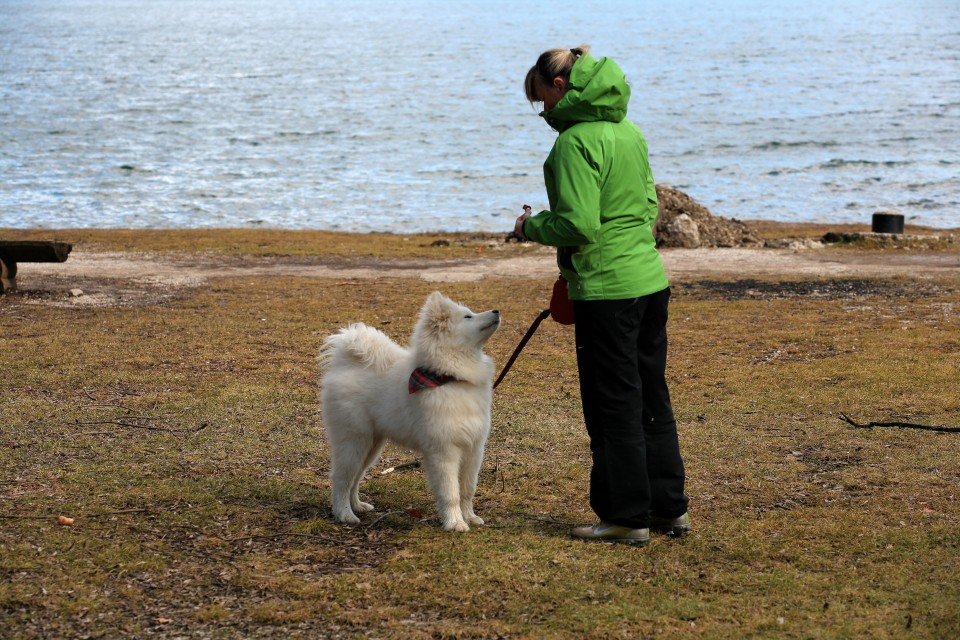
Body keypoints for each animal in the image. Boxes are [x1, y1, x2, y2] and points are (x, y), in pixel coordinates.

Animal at [322, 292, 502, 528]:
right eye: (468, 317)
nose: (497, 310)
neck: (450, 378)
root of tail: (345, 364)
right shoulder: (444, 451)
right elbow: (450, 492)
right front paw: (455, 523)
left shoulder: (473, 448)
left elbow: (467, 489)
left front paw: (470, 517)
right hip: (353, 441)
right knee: (342, 479)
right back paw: (345, 514)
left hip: (372, 445)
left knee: (356, 478)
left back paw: (358, 506)